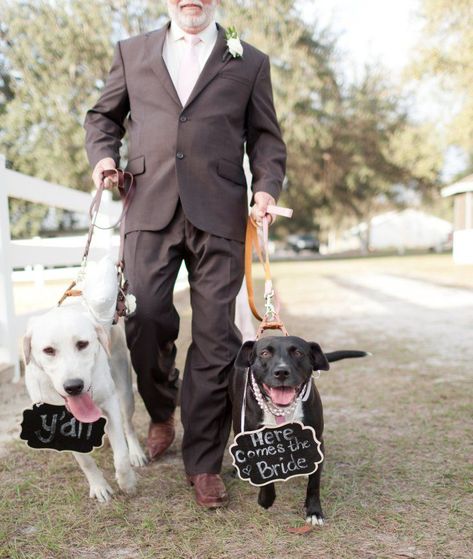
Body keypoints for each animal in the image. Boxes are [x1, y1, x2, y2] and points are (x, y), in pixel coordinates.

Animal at [22, 258, 147, 504]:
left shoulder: (110, 403)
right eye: (48, 350)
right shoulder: (59, 422)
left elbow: (121, 455)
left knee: (128, 426)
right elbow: (85, 461)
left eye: (82, 344)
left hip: (125, 391)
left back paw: (136, 453)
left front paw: (127, 482)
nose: (73, 386)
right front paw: (99, 486)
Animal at [230, 336, 366, 524]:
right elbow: (266, 475)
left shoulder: (316, 441)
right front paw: (266, 500)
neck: (281, 410)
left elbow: (314, 483)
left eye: (298, 353)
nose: (281, 372)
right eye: (264, 353)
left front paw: (314, 511)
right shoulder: (255, 444)